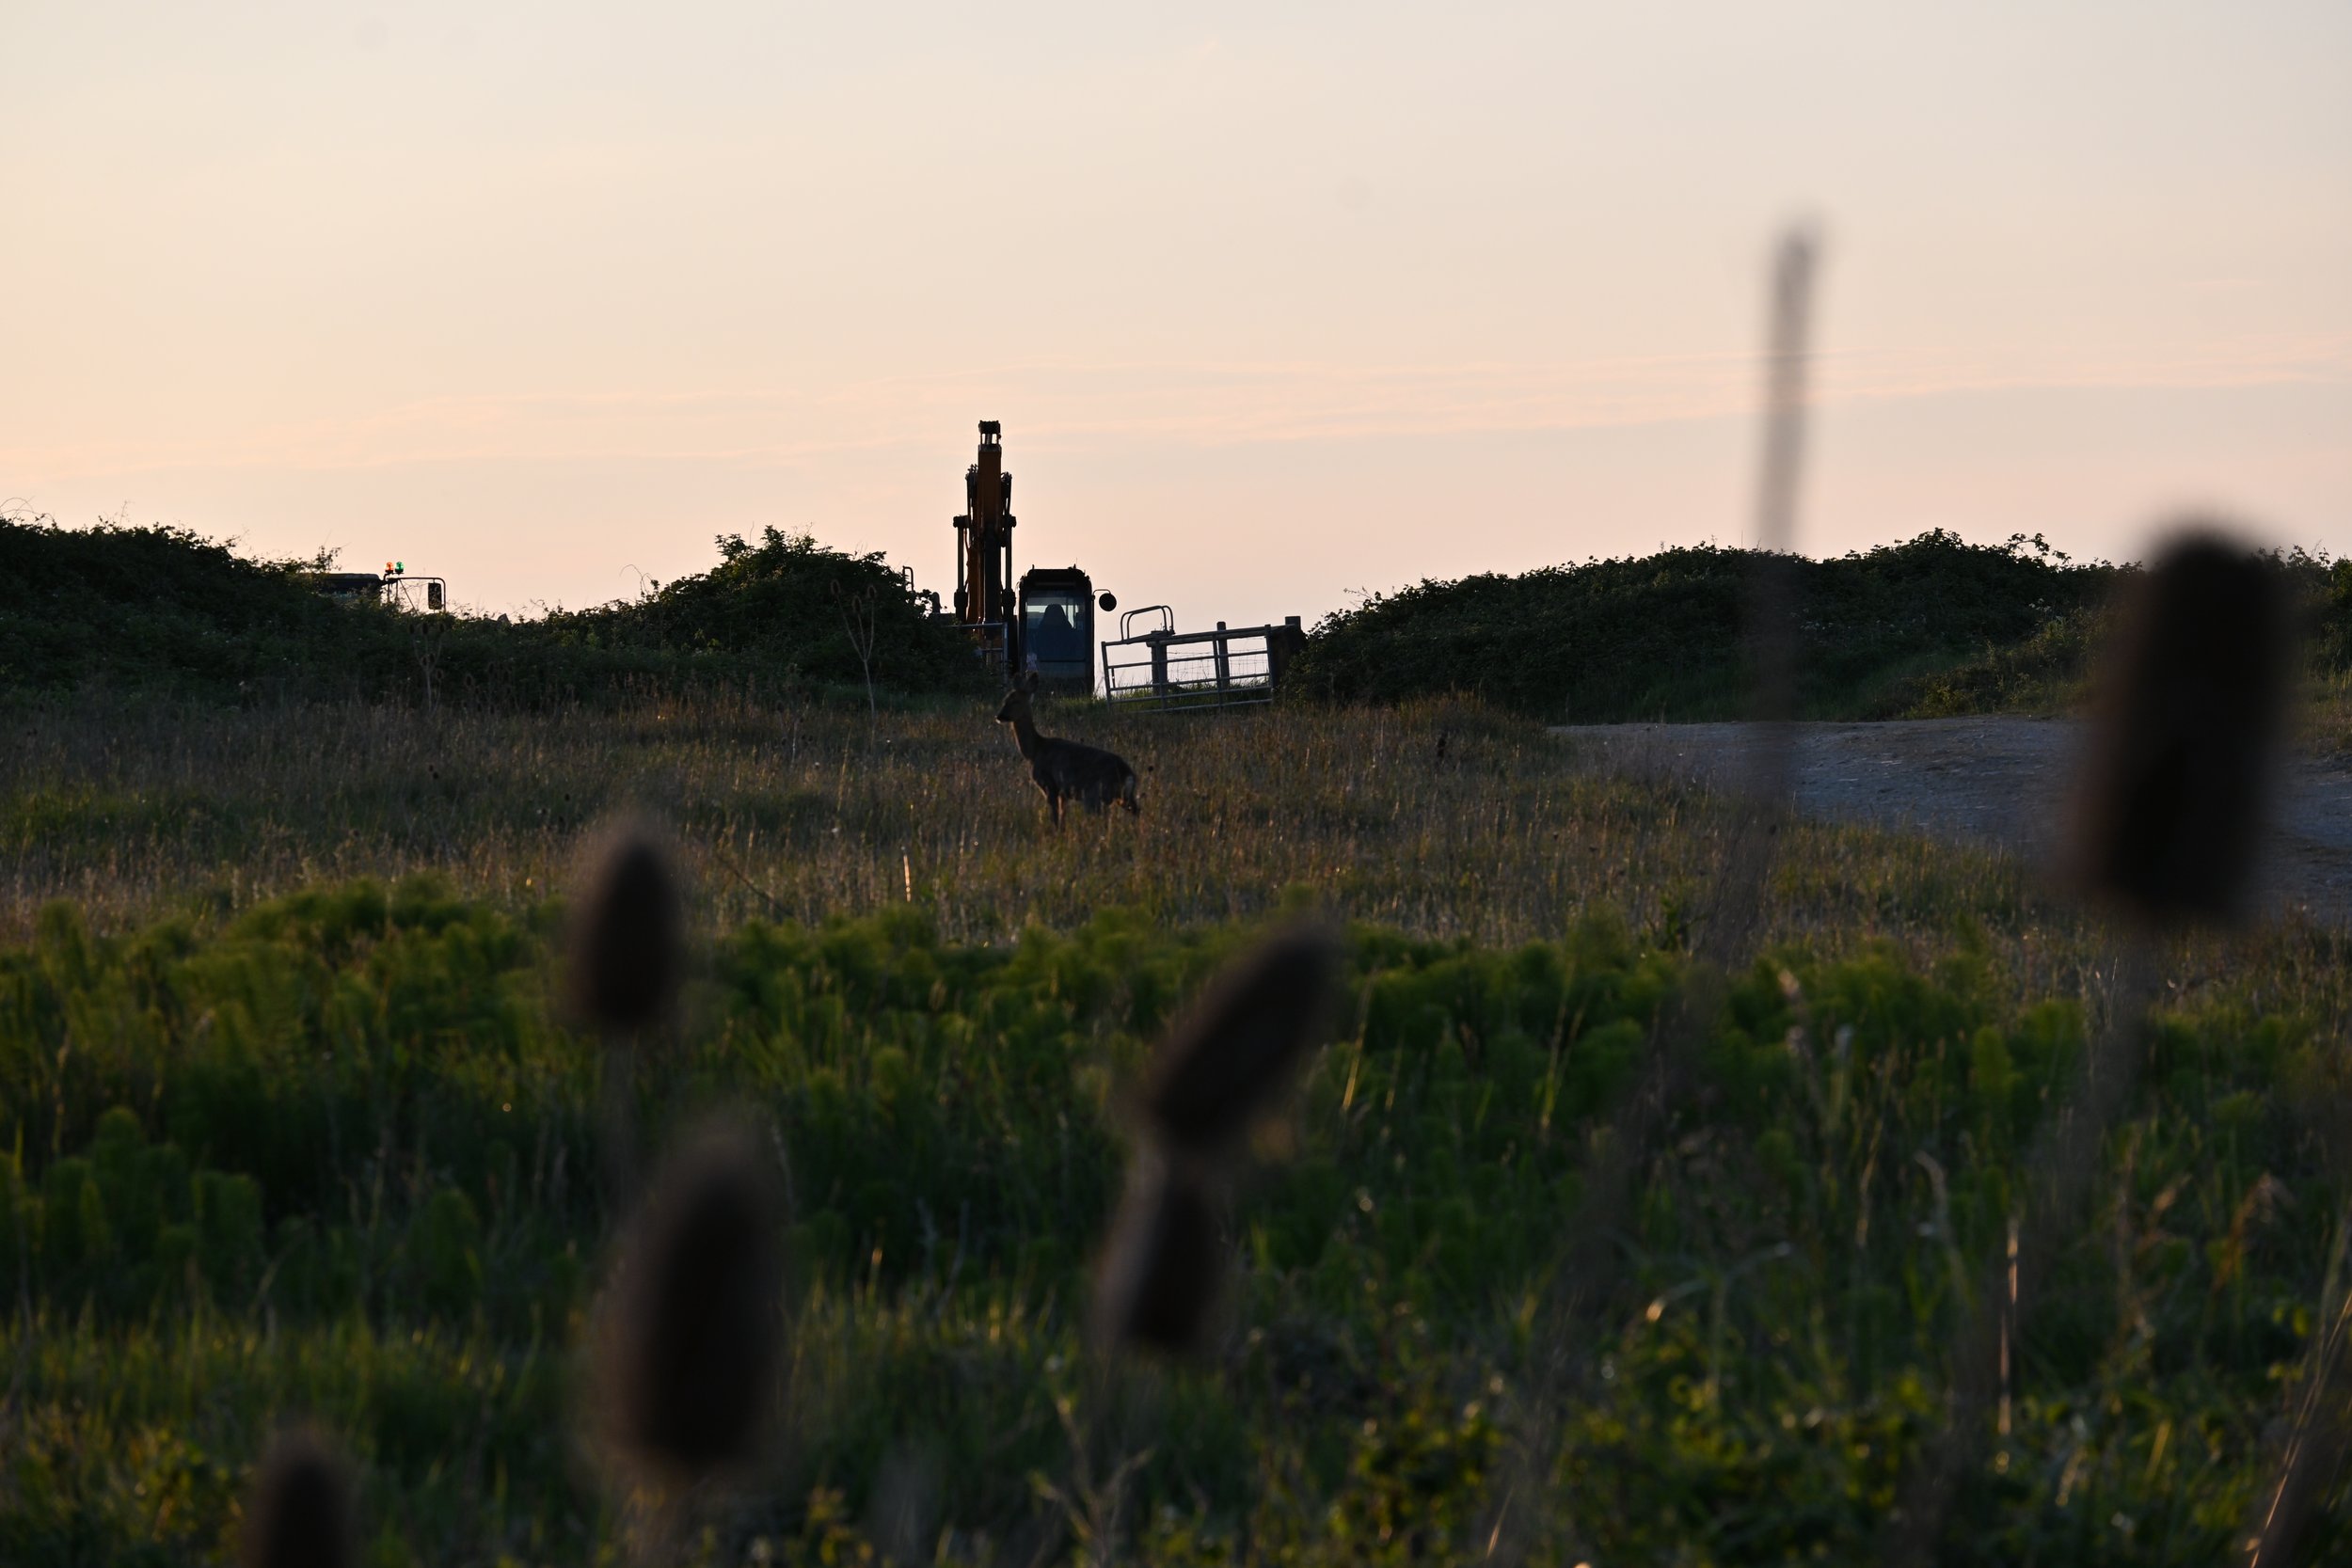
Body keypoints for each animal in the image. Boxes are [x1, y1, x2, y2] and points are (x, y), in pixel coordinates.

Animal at [995, 673, 1141, 824]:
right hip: (1123, 797)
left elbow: (1055, 819)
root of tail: (1128, 774)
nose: (999, 716)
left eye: (1015, 701)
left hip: (1094, 794)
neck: (1035, 750)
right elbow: (1062, 818)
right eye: (1005, 700)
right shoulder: (1063, 793)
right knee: (1137, 811)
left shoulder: (1049, 785)